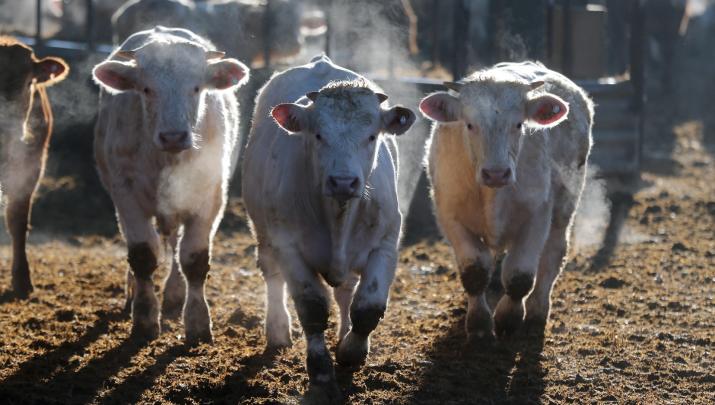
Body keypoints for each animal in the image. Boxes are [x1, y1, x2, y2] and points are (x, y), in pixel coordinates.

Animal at [92, 26, 249, 343]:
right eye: (146, 89)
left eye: (197, 88)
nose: (174, 136)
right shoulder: (126, 195)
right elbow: (142, 254)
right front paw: (144, 319)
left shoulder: (210, 197)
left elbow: (194, 259)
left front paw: (198, 323)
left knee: (176, 245)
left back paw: (175, 294)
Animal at [242, 54, 415, 398]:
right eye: (319, 135)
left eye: (372, 136)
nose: (343, 182)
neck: (337, 217)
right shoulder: (289, 248)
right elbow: (311, 309)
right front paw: (321, 372)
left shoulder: (385, 245)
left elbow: (368, 306)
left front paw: (352, 351)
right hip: (264, 234)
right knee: (272, 276)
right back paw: (278, 330)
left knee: (346, 292)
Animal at [419, 61, 593, 342]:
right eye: (469, 124)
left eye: (519, 124)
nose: (496, 173)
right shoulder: (450, 215)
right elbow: (475, 272)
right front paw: (479, 324)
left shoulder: (537, 215)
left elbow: (519, 276)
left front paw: (508, 320)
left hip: (564, 207)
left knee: (553, 255)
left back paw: (537, 312)